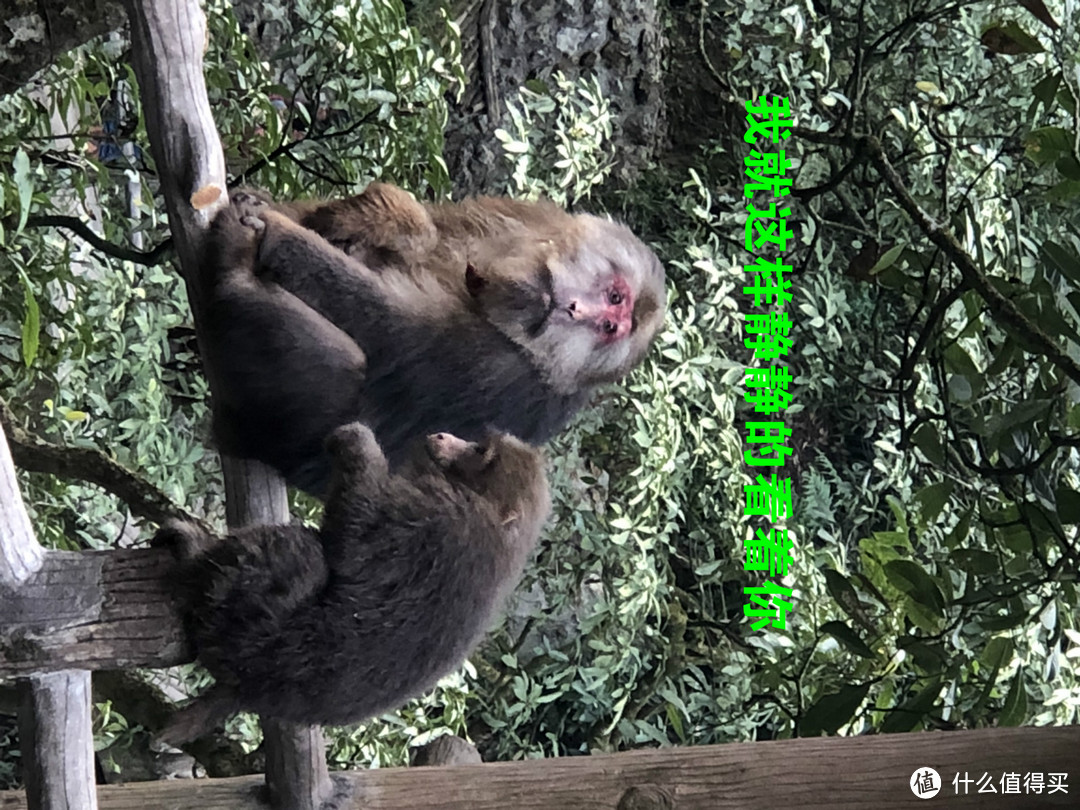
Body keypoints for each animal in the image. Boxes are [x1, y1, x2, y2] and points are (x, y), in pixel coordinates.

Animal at [156, 421, 552, 747]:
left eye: (479, 450)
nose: (444, 436)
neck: (494, 515)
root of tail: (247, 687)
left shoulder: (430, 519)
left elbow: (352, 531)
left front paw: (357, 440)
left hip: (242, 617)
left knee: (293, 552)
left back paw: (192, 555)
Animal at [198, 183, 660, 494]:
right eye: (615, 297)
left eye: (610, 327)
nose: (574, 310)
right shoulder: (522, 219)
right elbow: (433, 229)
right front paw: (382, 215)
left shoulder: (502, 368)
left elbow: (388, 332)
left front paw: (277, 233)